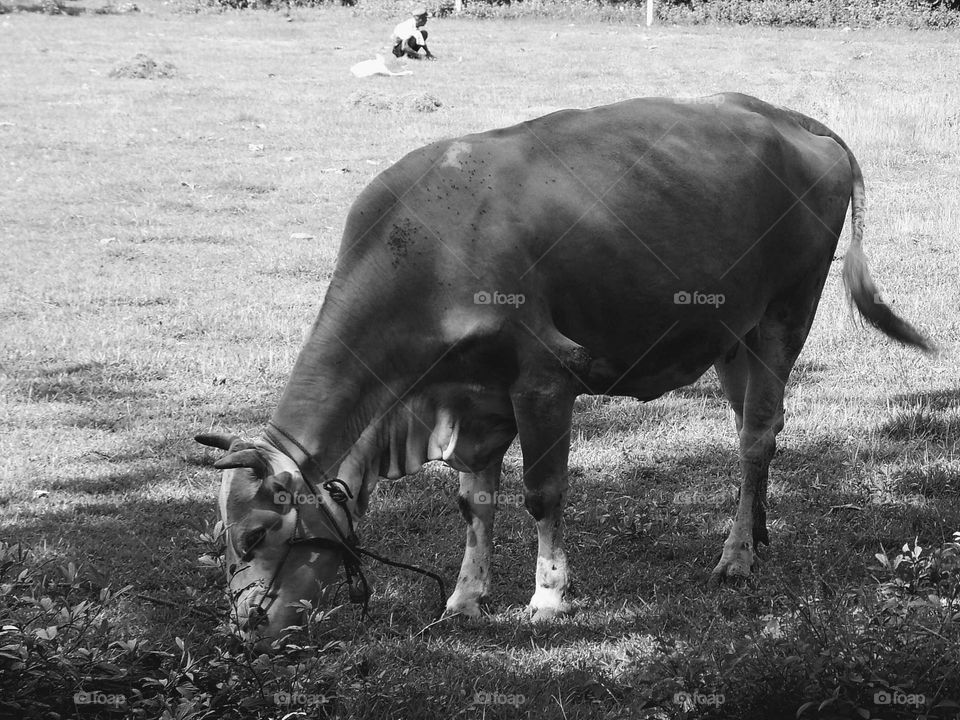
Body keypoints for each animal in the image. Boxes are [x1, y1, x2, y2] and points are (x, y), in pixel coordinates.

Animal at [196, 92, 931, 646]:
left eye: (257, 533)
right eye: (223, 537)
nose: (244, 629)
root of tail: (789, 117)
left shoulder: (544, 379)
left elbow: (542, 493)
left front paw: (549, 597)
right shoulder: (471, 396)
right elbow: (473, 501)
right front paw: (464, 598)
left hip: (786, 313)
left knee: (754, 437)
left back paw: (736, 558)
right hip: (732, 335)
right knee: (764, 429)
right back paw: (756, 533)